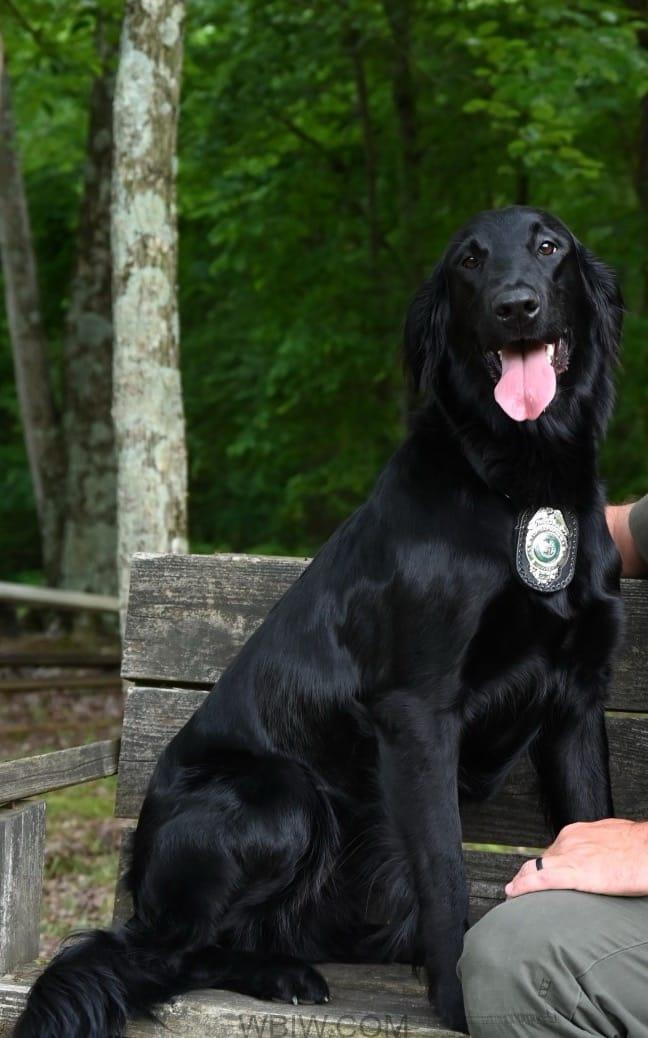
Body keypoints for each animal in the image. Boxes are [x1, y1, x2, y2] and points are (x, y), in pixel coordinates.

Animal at [15, 206, 623, 1037]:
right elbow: (445, 867)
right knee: (167, 953)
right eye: (468, 261)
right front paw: (458, 995)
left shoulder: (576, 701)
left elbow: (591, 830)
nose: (516, 306)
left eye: (549, 246)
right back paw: (280, 974)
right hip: (283, 795)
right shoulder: (418, 709)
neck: (518, 483)